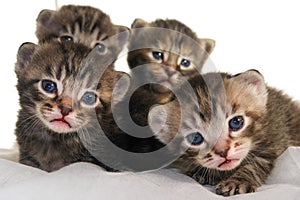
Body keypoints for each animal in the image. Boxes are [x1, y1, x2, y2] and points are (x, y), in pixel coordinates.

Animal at [149, 70, 300, 195]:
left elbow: (255, 164)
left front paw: (237, 181)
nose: (223, 152)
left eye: (236, 122)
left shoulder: (276, 136)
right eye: (195, 138)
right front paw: (205, 174)